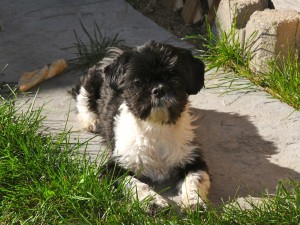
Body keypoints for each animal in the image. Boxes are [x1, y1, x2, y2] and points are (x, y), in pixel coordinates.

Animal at [71, 40, 210, 213]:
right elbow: (135, 184)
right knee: (83, 97)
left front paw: (195, 202)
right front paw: (154, 202)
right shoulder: (114, 167)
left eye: (175, 81)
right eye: (138, 83)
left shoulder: (192, 159)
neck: (156, 127)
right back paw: (91, 120)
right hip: (91, 83)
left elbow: (195, 179)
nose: (159, 89)